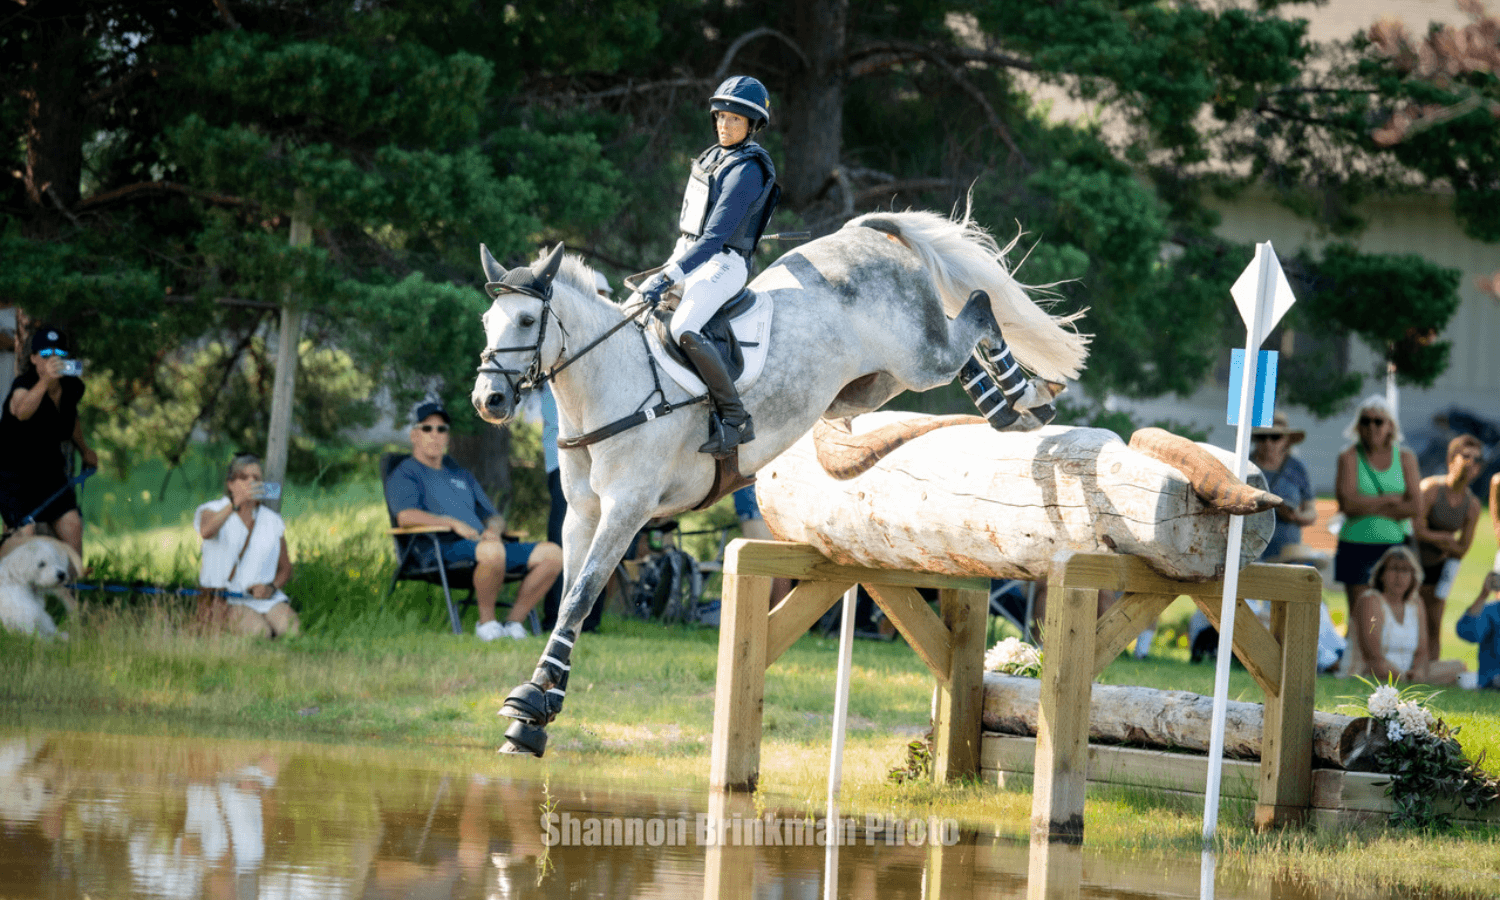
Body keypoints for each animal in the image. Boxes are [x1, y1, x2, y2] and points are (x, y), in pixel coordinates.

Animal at [471, 207, 1088, 756]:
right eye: (487, 322)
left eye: (526, 321)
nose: (489, 400)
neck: (607, 386)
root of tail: (863, 232)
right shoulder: (583, 514)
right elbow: (570, 599)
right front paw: (536, 713)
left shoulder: (627, 509)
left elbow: (579, 596)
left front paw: (530, 702)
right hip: (869, 384)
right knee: (960, 349)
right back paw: (1005, 406)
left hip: (914, 359)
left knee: (977, 310)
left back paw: (1029, 397)